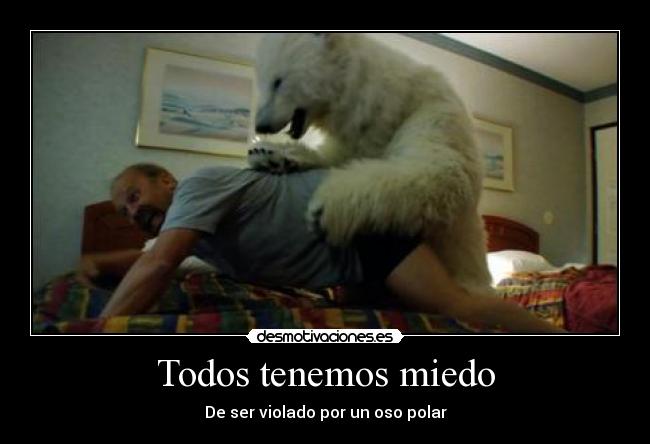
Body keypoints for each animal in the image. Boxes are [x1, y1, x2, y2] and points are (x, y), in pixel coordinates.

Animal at [249, 33, 493, 294]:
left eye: (278, 81)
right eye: (262, 79)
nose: (260, 126)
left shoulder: (431, 114)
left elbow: (443, 175)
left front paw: (325, 208)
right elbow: (337, 156)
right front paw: (269, 154)